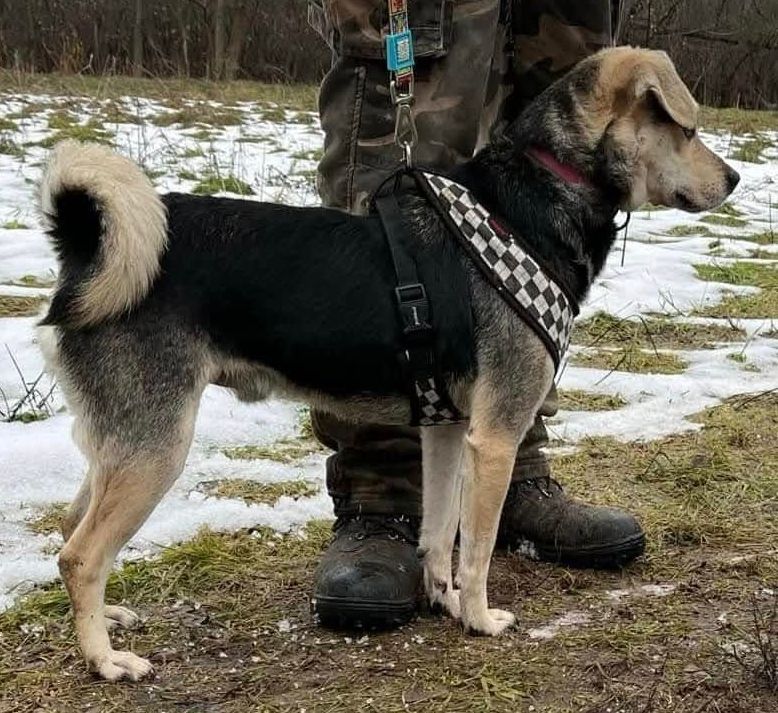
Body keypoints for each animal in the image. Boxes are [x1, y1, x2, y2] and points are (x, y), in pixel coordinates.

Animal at [36, 47, 739, 681]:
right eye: (688, 129)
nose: (734, 180)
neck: (534, 199)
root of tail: (85, 255)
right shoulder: (496, 435)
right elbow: (477, 546)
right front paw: (479, 618)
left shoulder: (449, 428)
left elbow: (439, 531)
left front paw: (445, 602)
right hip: (157, 446)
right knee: (80, 555)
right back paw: (105, 660)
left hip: (123, 441)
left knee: (71, 528)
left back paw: (107, 618)